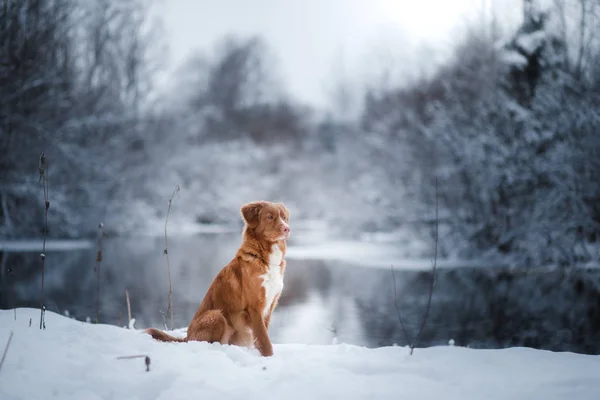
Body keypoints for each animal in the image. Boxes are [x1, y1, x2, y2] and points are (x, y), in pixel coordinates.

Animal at [143, 200, 288, 356]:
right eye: (270, 217)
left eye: (284, 217)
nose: (287, 229)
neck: (263, 258)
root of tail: (187, 337)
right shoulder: (255, 307)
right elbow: (264, 338)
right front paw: (268, 356)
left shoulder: (270, 305)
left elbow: (263, 335)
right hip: (216, 315)